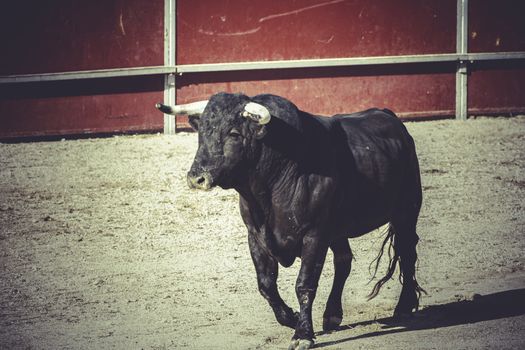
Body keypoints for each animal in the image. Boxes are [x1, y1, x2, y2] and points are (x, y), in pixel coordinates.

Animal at [157, 93, 426, 350]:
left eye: (234, 133)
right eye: (201, 132)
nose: (197, 178)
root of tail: (390, 117)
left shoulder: (314, 236)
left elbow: (304, 285)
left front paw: (302, 335)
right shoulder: (256, 236)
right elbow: (266, 285)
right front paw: (292, 318)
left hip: (406, 211)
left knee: (406, 253)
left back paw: (404, 306)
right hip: (338, 230)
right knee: (344, 261)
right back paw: (332, 315)